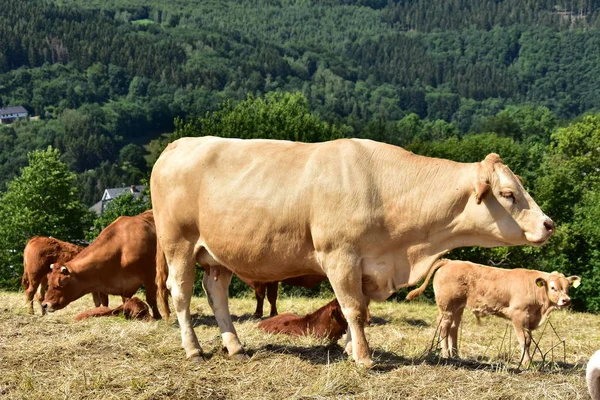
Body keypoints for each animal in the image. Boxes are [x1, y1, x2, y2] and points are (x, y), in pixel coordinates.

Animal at [150, 136, 552, 368]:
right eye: (508, 194)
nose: (548, 223)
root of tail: (177, 145)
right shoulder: (339, 256)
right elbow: (355, 309)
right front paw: (364, 358)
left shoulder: (369, 264)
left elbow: (359, 310)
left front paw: (347, 347)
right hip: (179, 243)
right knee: (181, 294)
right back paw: (193, 349)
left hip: (218, 254)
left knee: (216, 293)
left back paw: (235, 346)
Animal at [406, 260, 580, 366]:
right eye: (553, 287)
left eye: (567, 288)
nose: (566, 300)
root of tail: (450, 261)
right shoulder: (519, 315)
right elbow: (525, 340)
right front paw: (526, 363)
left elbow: (528, 340)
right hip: (446, 306)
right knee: (444, 328)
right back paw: (446, 354)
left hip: (458, 307)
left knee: (453, 328)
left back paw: (455, 355)